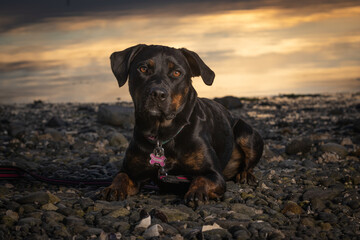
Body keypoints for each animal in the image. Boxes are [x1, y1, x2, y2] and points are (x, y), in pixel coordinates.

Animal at [101, 43, 264, 204]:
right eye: (143, 69)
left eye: (177, 73)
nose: (157, 94)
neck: (162, 132)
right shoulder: (131, 171)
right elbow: (121, 176)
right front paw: (113, 188)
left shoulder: (214, 174)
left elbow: (201, 178)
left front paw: (197, 192)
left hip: (247, 133)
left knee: (248, 164)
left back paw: (245, 175)